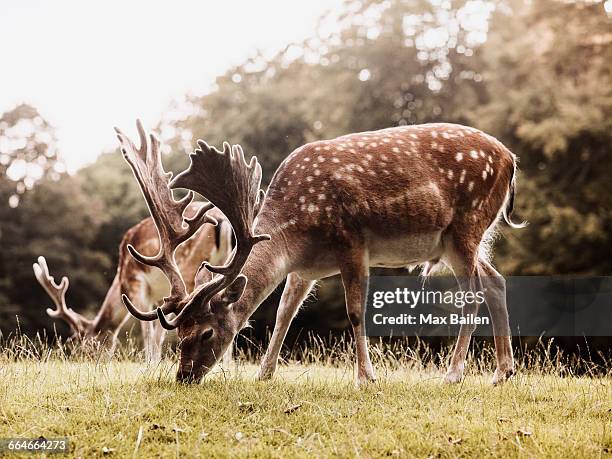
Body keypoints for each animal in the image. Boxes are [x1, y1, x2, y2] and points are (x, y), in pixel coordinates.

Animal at [113, 120, 520, 386]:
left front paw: (366, 378)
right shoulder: (304, 269)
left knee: (473, 292)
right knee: (496, 280)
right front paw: (264, 374)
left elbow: (355, 312)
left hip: (467, 223)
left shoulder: (351, 241)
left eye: (206, 333)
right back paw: (502, 372)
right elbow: (283, 313)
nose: (183, 376)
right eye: (179, 333)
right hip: (457, 240)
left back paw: (453, 374)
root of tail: (511, 160)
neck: (295, 237)